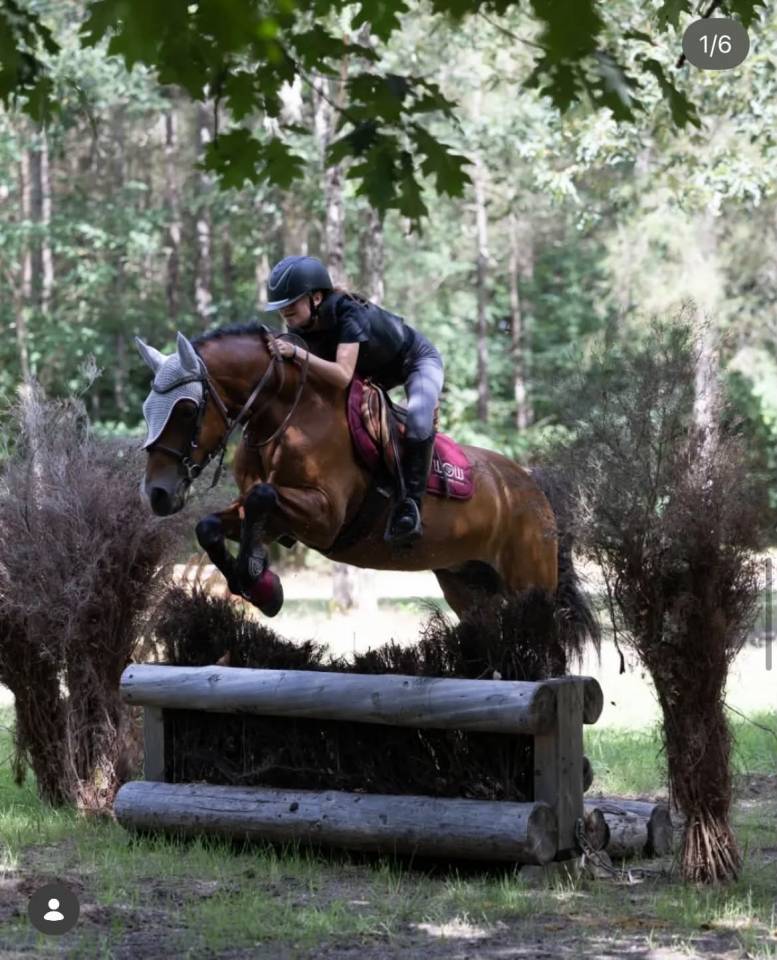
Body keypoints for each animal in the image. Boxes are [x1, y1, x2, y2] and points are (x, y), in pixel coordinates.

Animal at [136, 326, 598, 662]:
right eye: (146, 409)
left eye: (186, 410)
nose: (157, 493)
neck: (285, 417)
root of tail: (532, 487)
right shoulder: (276, 516)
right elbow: (212, 524)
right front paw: (262, 586)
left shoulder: (324, 517)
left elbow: (261, 497)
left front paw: (255, 575)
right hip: (468, 584)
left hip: (529, 583)